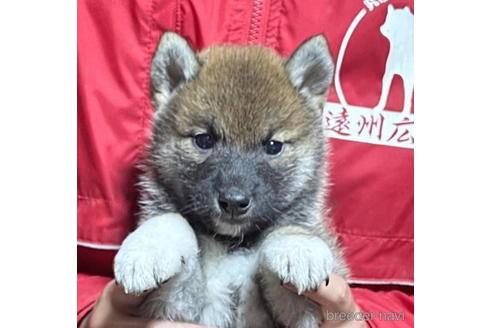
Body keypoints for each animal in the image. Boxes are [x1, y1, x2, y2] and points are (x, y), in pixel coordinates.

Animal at [113, 31, 348, 328]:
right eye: (204, 140)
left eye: (273, 145)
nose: (234, 202)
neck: (231, 244)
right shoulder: (174, 309)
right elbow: (173, 220)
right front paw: (148, 247)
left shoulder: (302, 312)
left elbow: (285, 231)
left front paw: (298, 247)